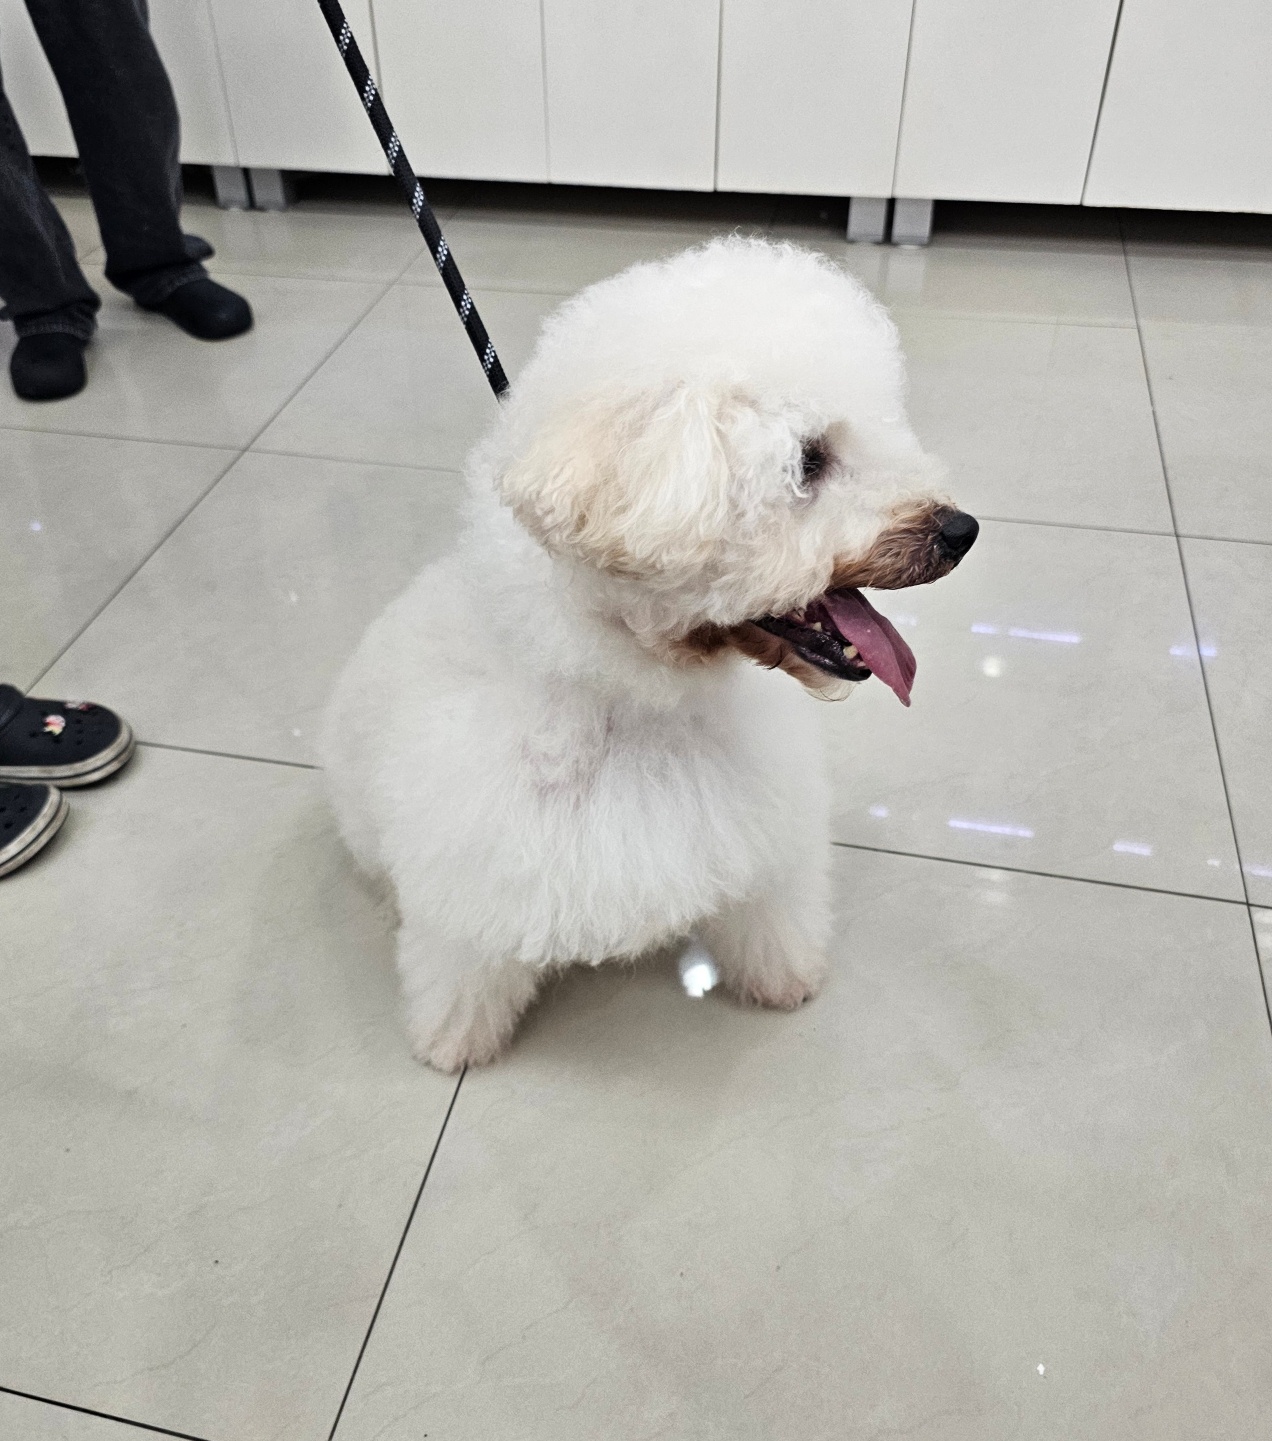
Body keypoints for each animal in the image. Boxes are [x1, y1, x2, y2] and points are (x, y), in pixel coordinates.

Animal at [321, 237, 977, 1072]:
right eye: (810, 459)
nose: (961, 529)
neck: (637, 691)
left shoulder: (762, 821)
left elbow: (769, 907)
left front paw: (786, 974)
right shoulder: (475, 860)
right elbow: (464, 958)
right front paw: (456, 1037)